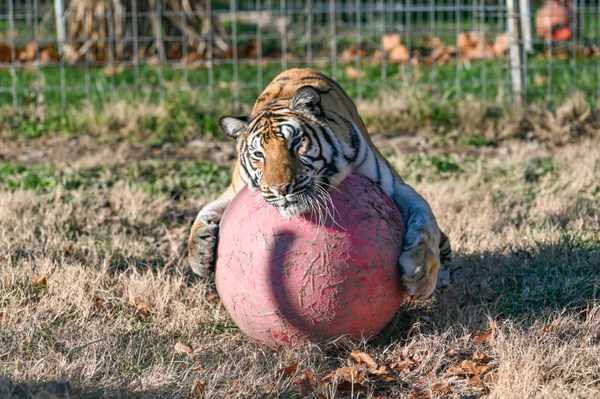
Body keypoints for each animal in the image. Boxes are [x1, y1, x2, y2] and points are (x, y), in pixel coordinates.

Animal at [188, 68, 450, 300]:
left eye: (295, 143)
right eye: (258, 154)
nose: (280, 189)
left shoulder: (395, 186)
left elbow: (426, 220)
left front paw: (421, 275)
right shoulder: (234, 190)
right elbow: (204, 211)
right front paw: (200, 252)